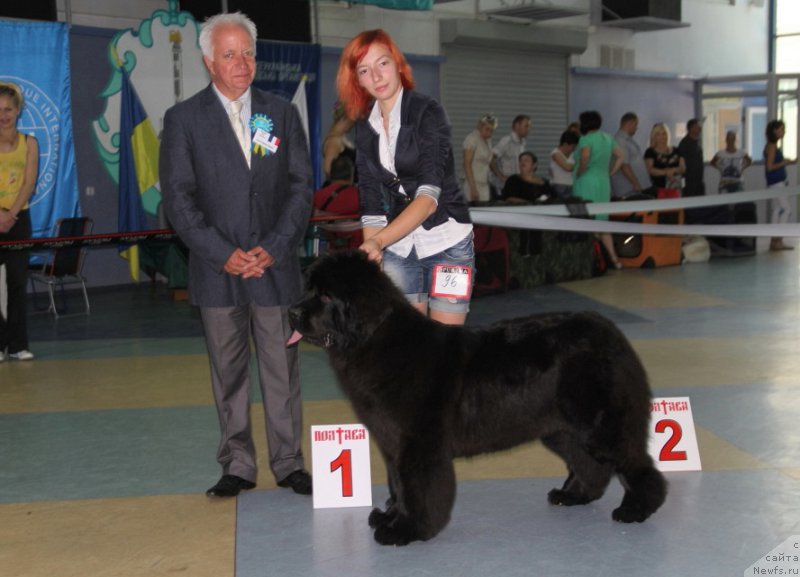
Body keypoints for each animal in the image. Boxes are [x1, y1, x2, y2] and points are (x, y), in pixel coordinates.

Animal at [290, 250, 664, 544]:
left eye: (326, 297)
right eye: (308, 289)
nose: (292, 312)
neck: (375, 340)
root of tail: (610, 331)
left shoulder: (418, 444)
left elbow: (416, 487)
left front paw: (406, 529)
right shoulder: (392, 443)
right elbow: (398, 483)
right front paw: (390, 516)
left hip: (601, 423)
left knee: (634, 463)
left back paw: (637, 509)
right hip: (562, 428)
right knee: (589, 463)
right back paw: (573, 495)